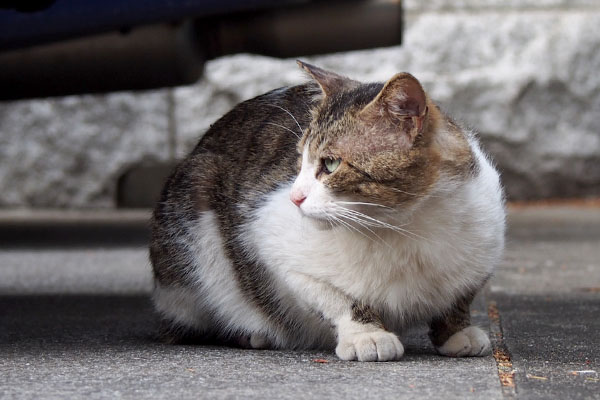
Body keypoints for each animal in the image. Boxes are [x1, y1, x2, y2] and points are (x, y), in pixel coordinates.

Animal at [148, 60, 504, 362]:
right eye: (299, 160)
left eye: (330, 164)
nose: (294, 197)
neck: (406, 225)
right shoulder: (271, 244)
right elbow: (336, 297)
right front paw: (366, 334)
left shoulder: (484, 246)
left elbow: (460, 296)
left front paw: (457, 333)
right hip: (194, 212)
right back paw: (251, 333)